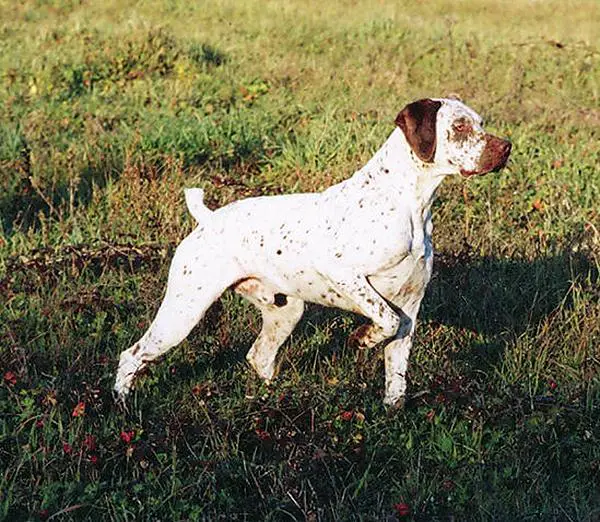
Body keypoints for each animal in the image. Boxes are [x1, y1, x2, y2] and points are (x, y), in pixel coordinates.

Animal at [113, 97, 510, 406]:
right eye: (459, 126)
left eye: (481, 123)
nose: (506, 148)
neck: (408, 203)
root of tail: (208, 219)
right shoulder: (345, 274)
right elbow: (385, 319)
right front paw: (362, 338)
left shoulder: (411, 306)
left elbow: (396, 377)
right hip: (183, 312)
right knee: (131, 355)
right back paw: (122, 406)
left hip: (285, 312)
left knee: (259, 357)